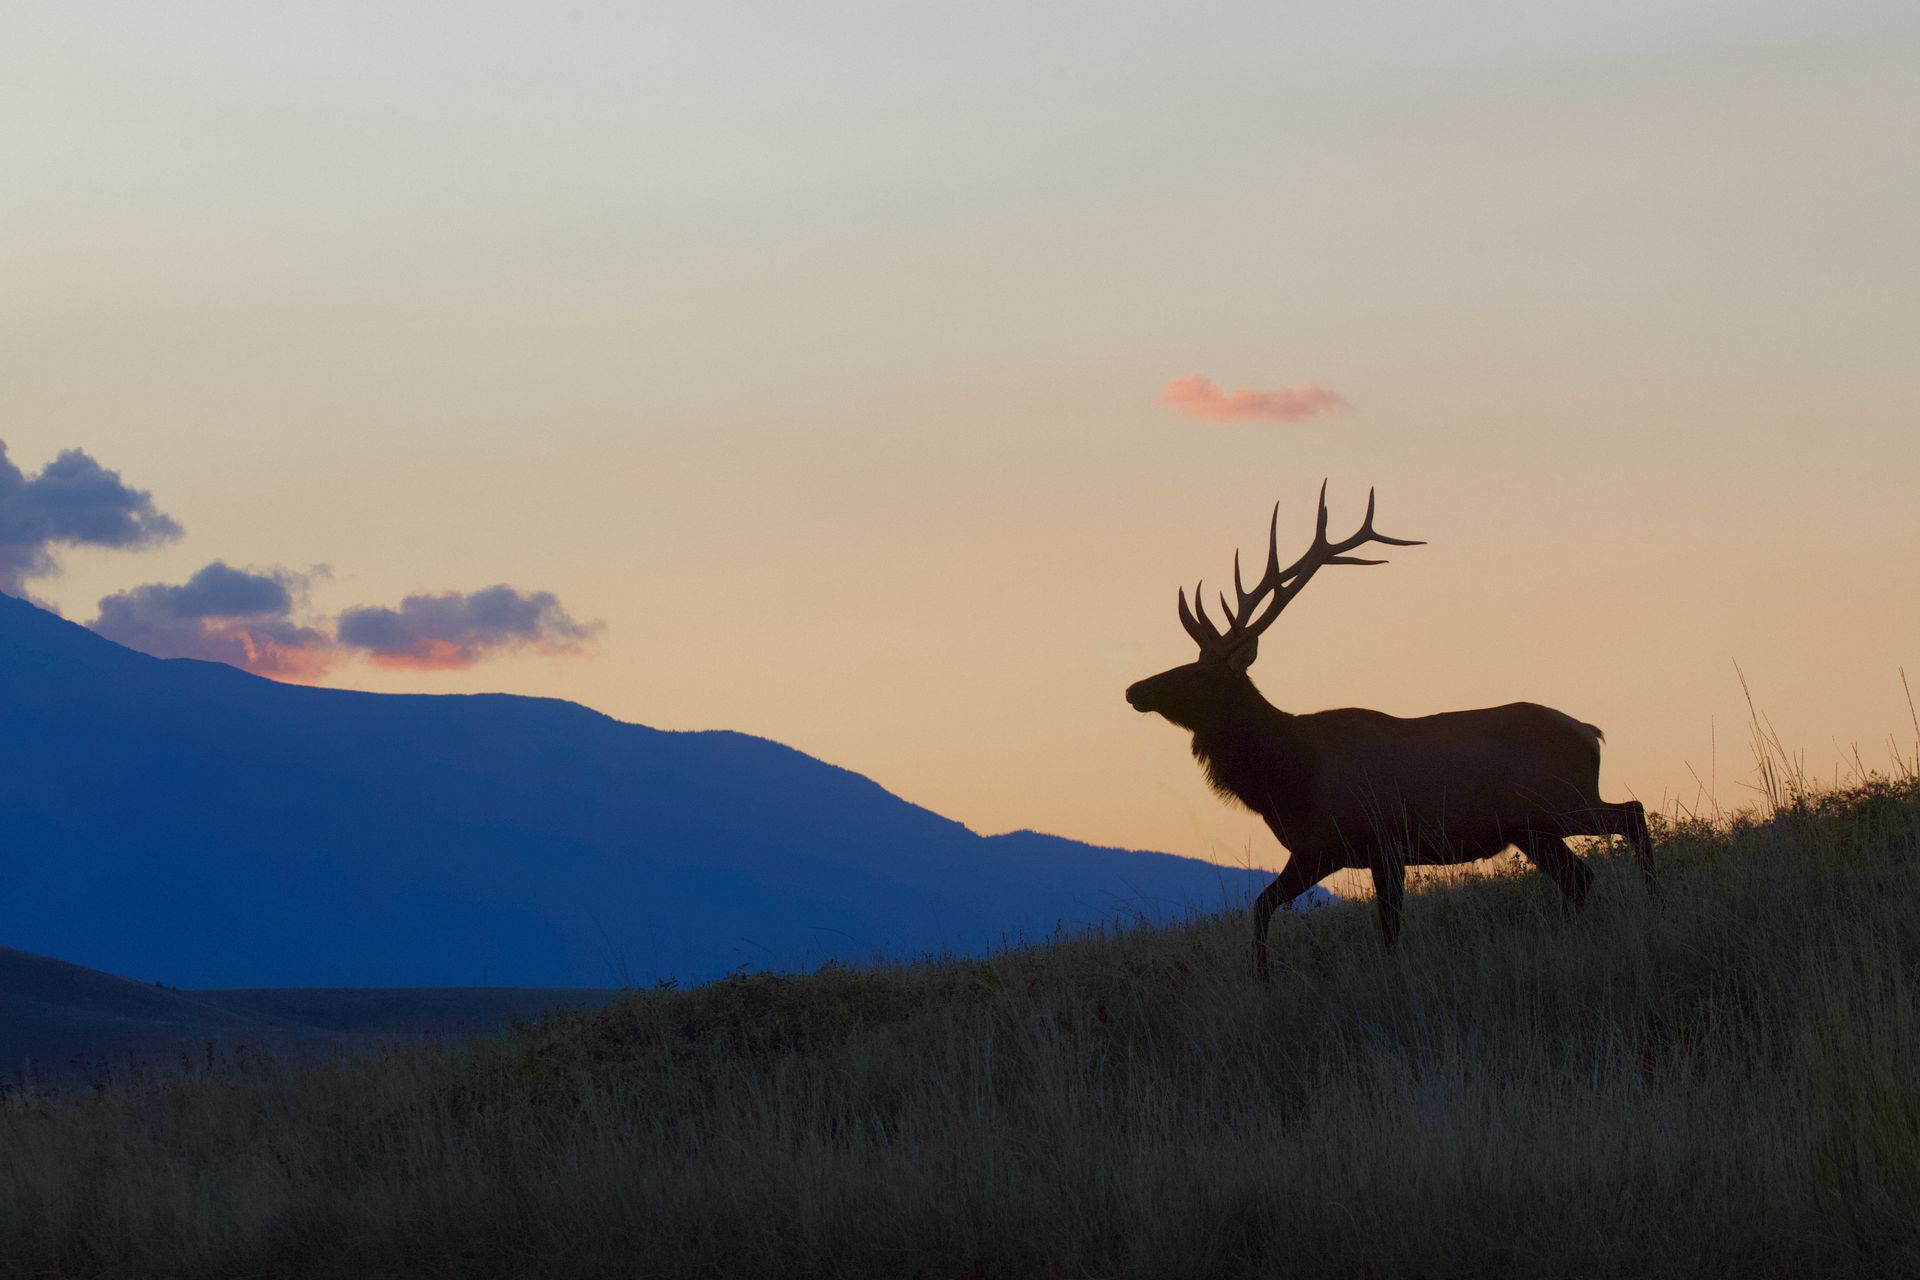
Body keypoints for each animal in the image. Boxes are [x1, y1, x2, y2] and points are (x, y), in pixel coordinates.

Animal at [1124, 484, 1654, 979]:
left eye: (1198, 673)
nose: (1134, 689)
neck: (1293, 778)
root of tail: (1590, 733)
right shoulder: (1318, 850)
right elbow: (1261, 906)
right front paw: (1261, 976)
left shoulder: (1384, 840)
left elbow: (1389, 926)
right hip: (1532, 828)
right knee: (1579, 877)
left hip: (1561, 800)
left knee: (1631, 813)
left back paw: (1653, 901)